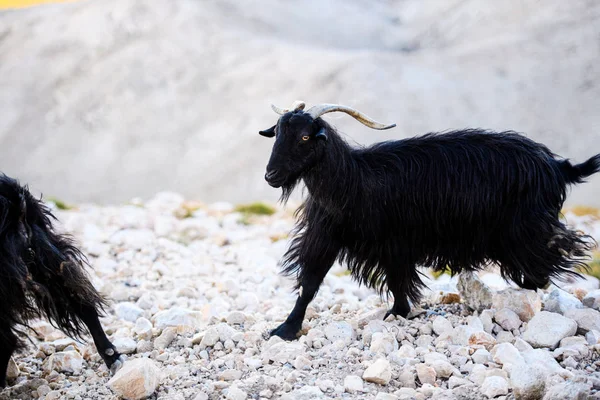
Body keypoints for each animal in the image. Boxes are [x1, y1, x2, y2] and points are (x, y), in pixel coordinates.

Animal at [260, 101, 600, 340]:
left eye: (305, 136)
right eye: (277, 134)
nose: (271, 176)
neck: (353, 180)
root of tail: (557, 166)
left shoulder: (395, 242)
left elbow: (397, 281)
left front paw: (398, 313)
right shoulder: (325, 237)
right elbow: (310, 283)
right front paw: (285, 329)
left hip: (524, 229)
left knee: (542, 266)